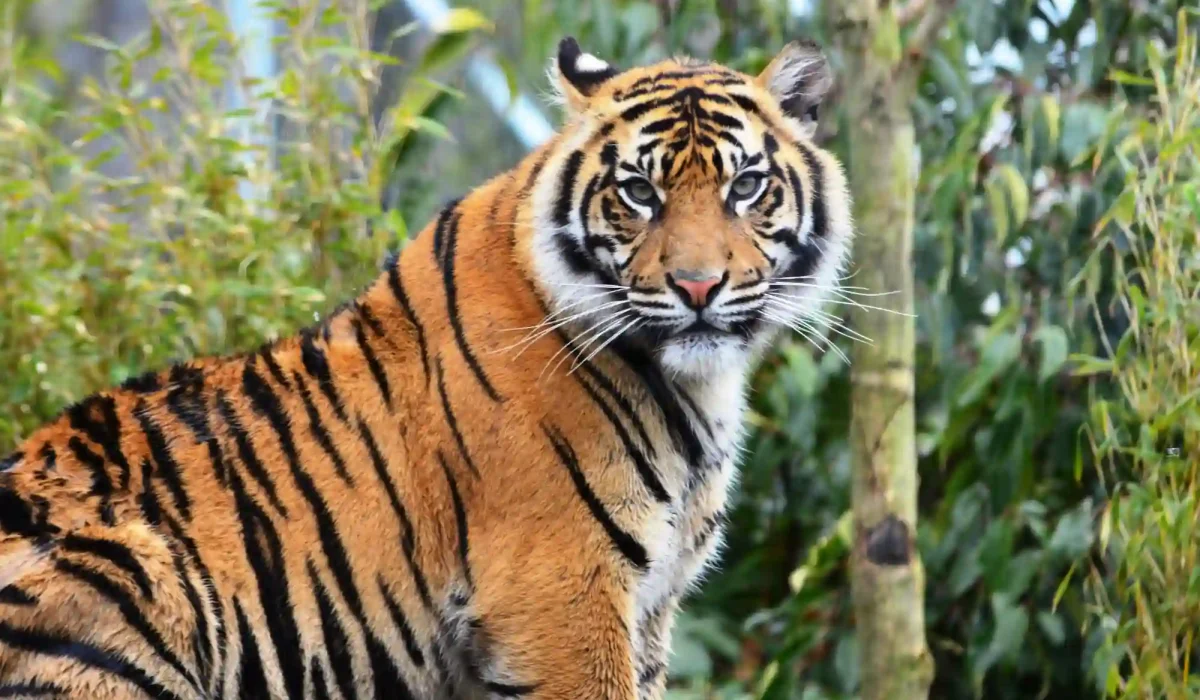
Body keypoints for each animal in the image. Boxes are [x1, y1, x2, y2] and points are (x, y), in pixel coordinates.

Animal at [0, 36, 852, 699]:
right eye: (639, 192)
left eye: (747, 186)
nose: (698, 287)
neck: (691, 387)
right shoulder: (561, 599)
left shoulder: (647, 608)